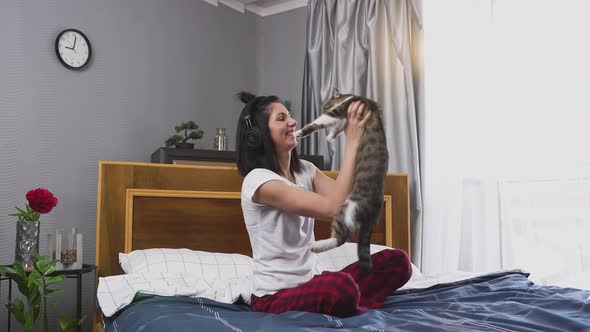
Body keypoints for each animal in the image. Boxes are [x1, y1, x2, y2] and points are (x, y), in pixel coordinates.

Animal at [294, 87, 388, 272]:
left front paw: (299, 132)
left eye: (325, 105)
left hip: (346, 209)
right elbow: (335, 127)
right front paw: (331, 136)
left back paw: (317, 246)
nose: (322, 108)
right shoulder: (343, 120)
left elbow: (320, 122)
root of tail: (374, 210)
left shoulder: (340, 111)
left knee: (341, 238)